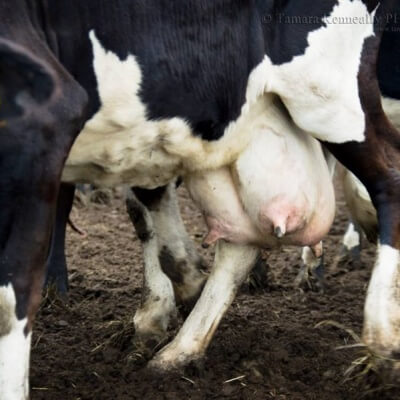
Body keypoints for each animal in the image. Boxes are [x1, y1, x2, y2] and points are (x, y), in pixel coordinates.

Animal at [0, 1, 400, 398]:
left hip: (328, 95)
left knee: (389, 175)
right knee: (238, 239)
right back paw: (181, 347)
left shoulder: (41, 123)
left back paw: (382, 344)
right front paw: (170, 298)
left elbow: (12, 298)